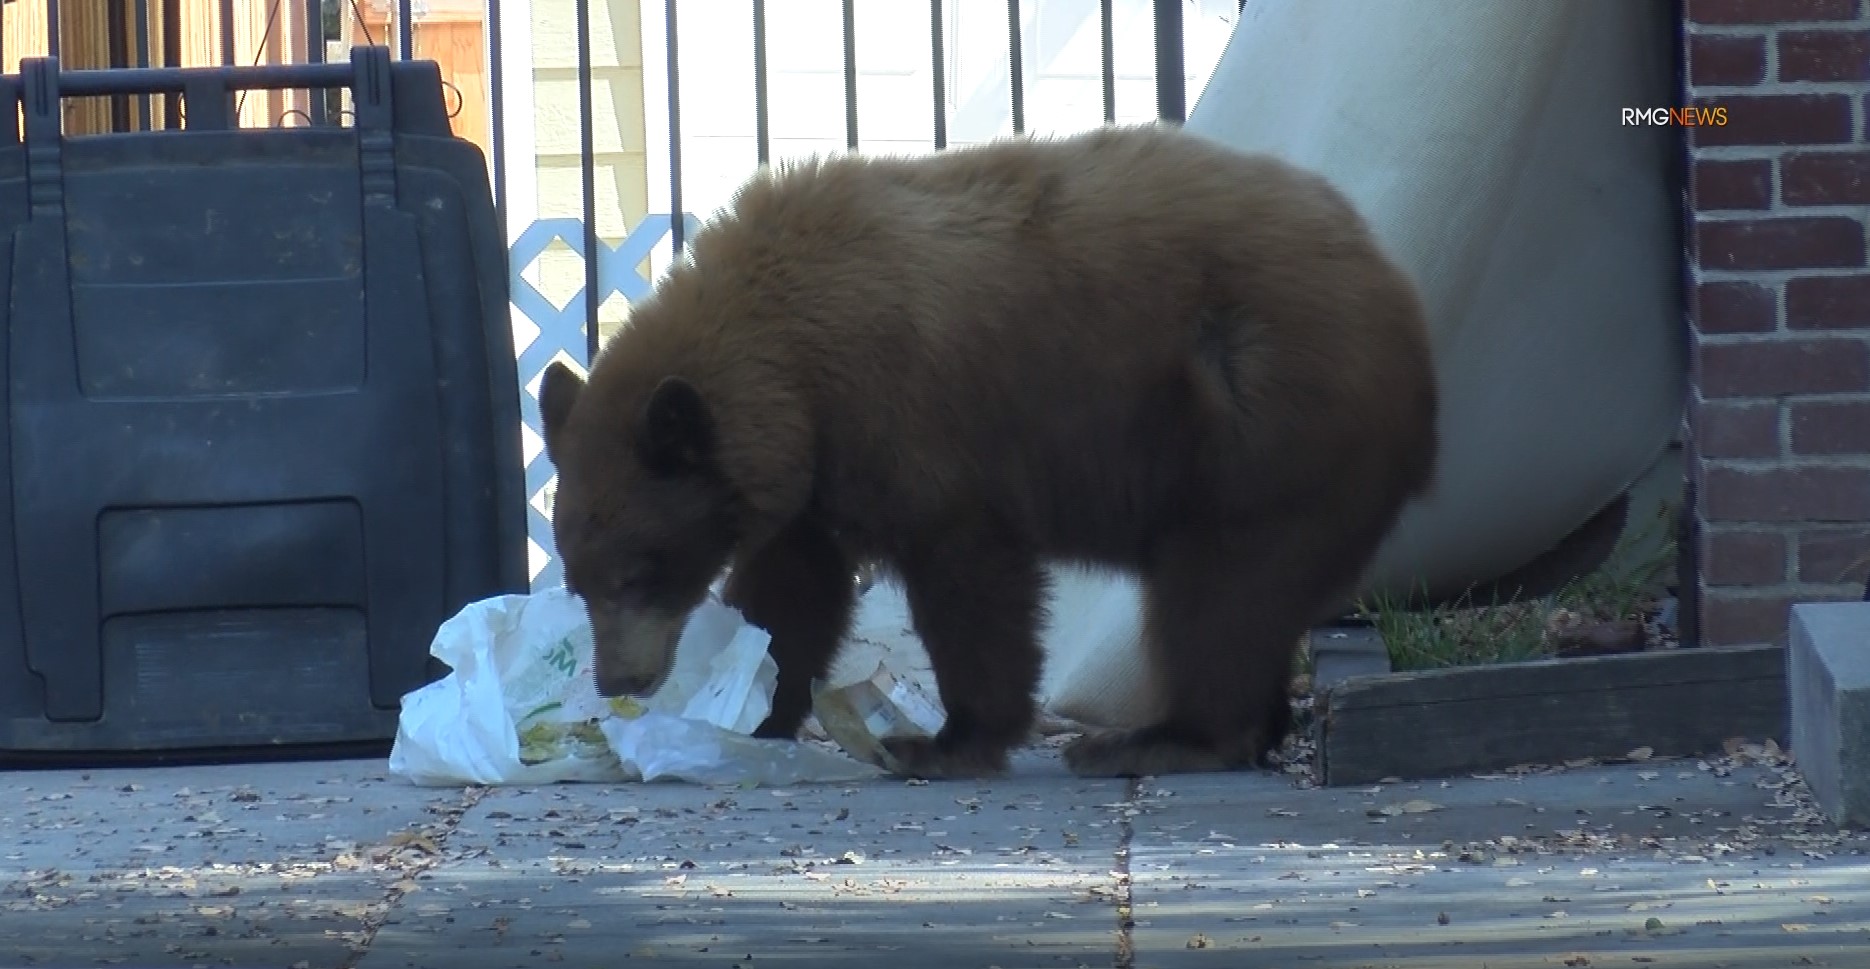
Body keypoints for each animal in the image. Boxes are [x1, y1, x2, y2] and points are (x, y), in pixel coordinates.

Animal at [534, 123, 1436, 781]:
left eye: (638, 572)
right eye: (576, 577)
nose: (618, 679)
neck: (789, 356)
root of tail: (1398, 296)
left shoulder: (912, 420)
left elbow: (967, 573)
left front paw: (944, 739)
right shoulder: (814, 476)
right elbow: (794, 590)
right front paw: (759, 709)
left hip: (1260, 422)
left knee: (1219, 588)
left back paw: (1158, 737)